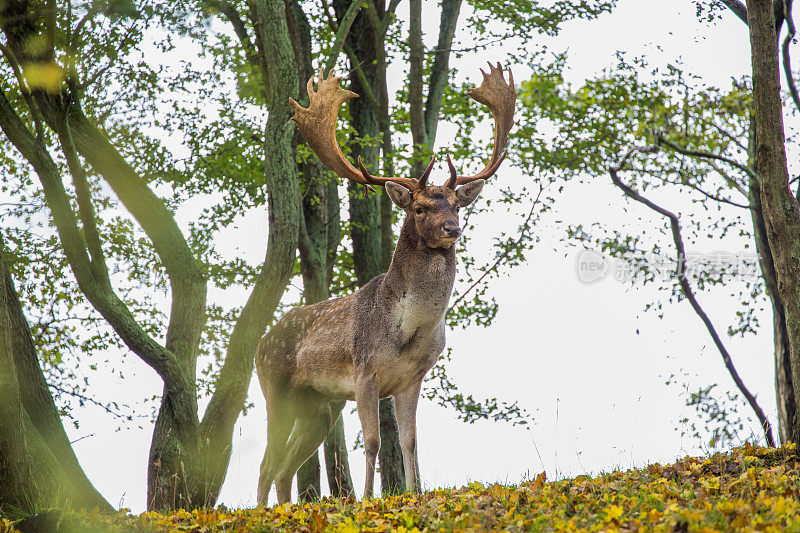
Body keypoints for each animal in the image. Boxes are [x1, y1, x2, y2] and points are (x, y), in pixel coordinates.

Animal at [258, 62, 520, 502]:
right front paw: (367, 499)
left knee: (282, 468)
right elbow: (374, 442)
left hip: (319, 405)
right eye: (420, 207)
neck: (407, 330)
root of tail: (259, 344)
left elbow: (411, 440)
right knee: (266, 465)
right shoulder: (365, 373)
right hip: (275, 388)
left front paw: (416, 494)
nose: (452, 228)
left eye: (456, 204)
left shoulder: (412, 378)